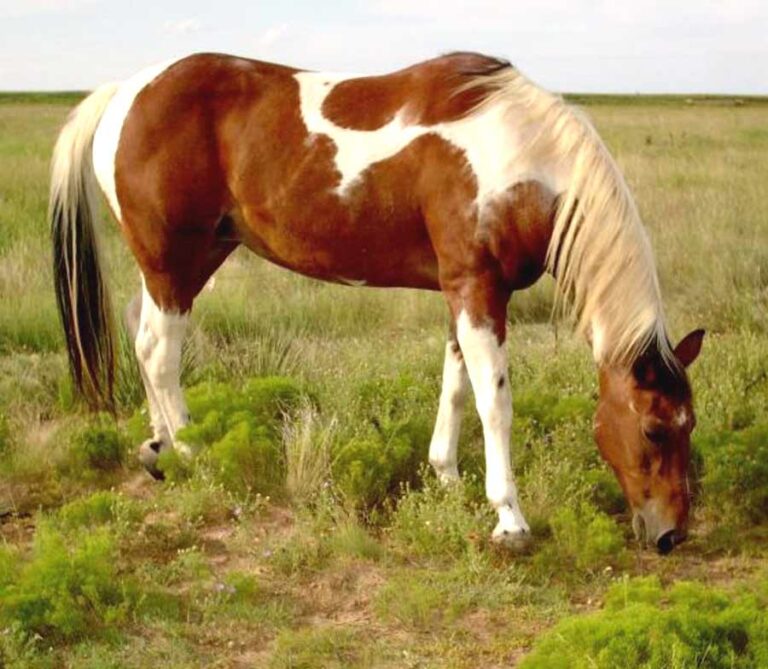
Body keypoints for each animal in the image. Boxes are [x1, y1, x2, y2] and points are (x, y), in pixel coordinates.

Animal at [49, 51, 704, 554]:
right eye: (653, 430)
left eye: (688, 424)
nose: (670, 534)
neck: (521, 154)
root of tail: (125, 93)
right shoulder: (478, 289)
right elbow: (495, 404)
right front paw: (509, 520)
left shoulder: (463, 292)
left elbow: (456, 388)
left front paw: (446, 478)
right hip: (173, 261)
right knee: (160, 352)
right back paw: (194, 454)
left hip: (189, 259)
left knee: (142, 336)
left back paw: (158, 449)